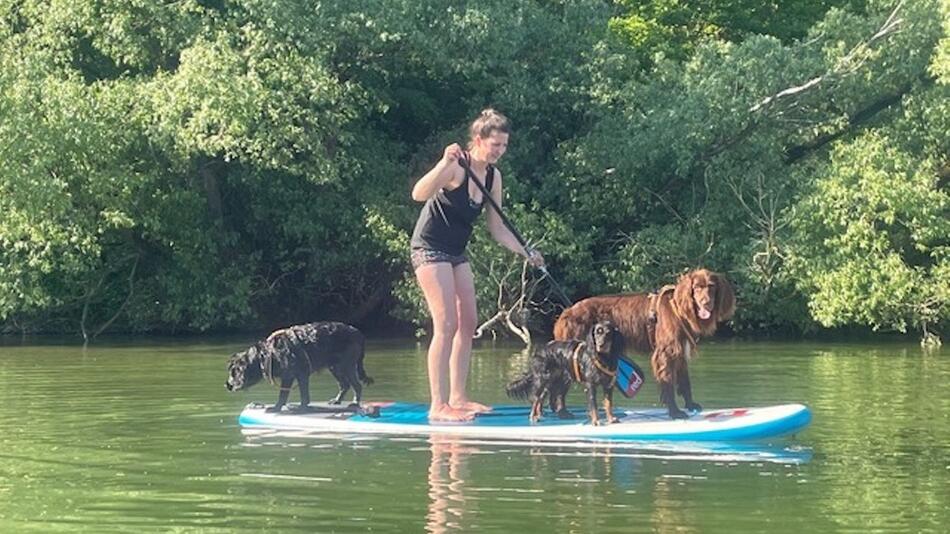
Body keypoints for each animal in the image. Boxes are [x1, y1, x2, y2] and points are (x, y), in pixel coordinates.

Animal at [225, 322, 374, 414]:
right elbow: (289, 394)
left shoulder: (298, 374)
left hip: (346, 365)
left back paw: (354, 403)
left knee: (356, 385)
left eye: (233, 372)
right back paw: (337, 400)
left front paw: (294, 407)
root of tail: (358, 333)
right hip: (335, 366)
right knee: (345, 384)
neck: (268, 354)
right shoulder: (292, 376)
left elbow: (295, 394)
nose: (227, 385)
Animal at [552, 270, 736, 420]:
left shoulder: (679, 352)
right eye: (697, 287)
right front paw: (675, 412)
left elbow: (685, 382)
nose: (706, 303)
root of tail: (567, 312)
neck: (678, 309)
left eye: (711, 287)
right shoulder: (665, 354)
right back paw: (562, 412)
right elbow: (668, 385)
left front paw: (690, 405)